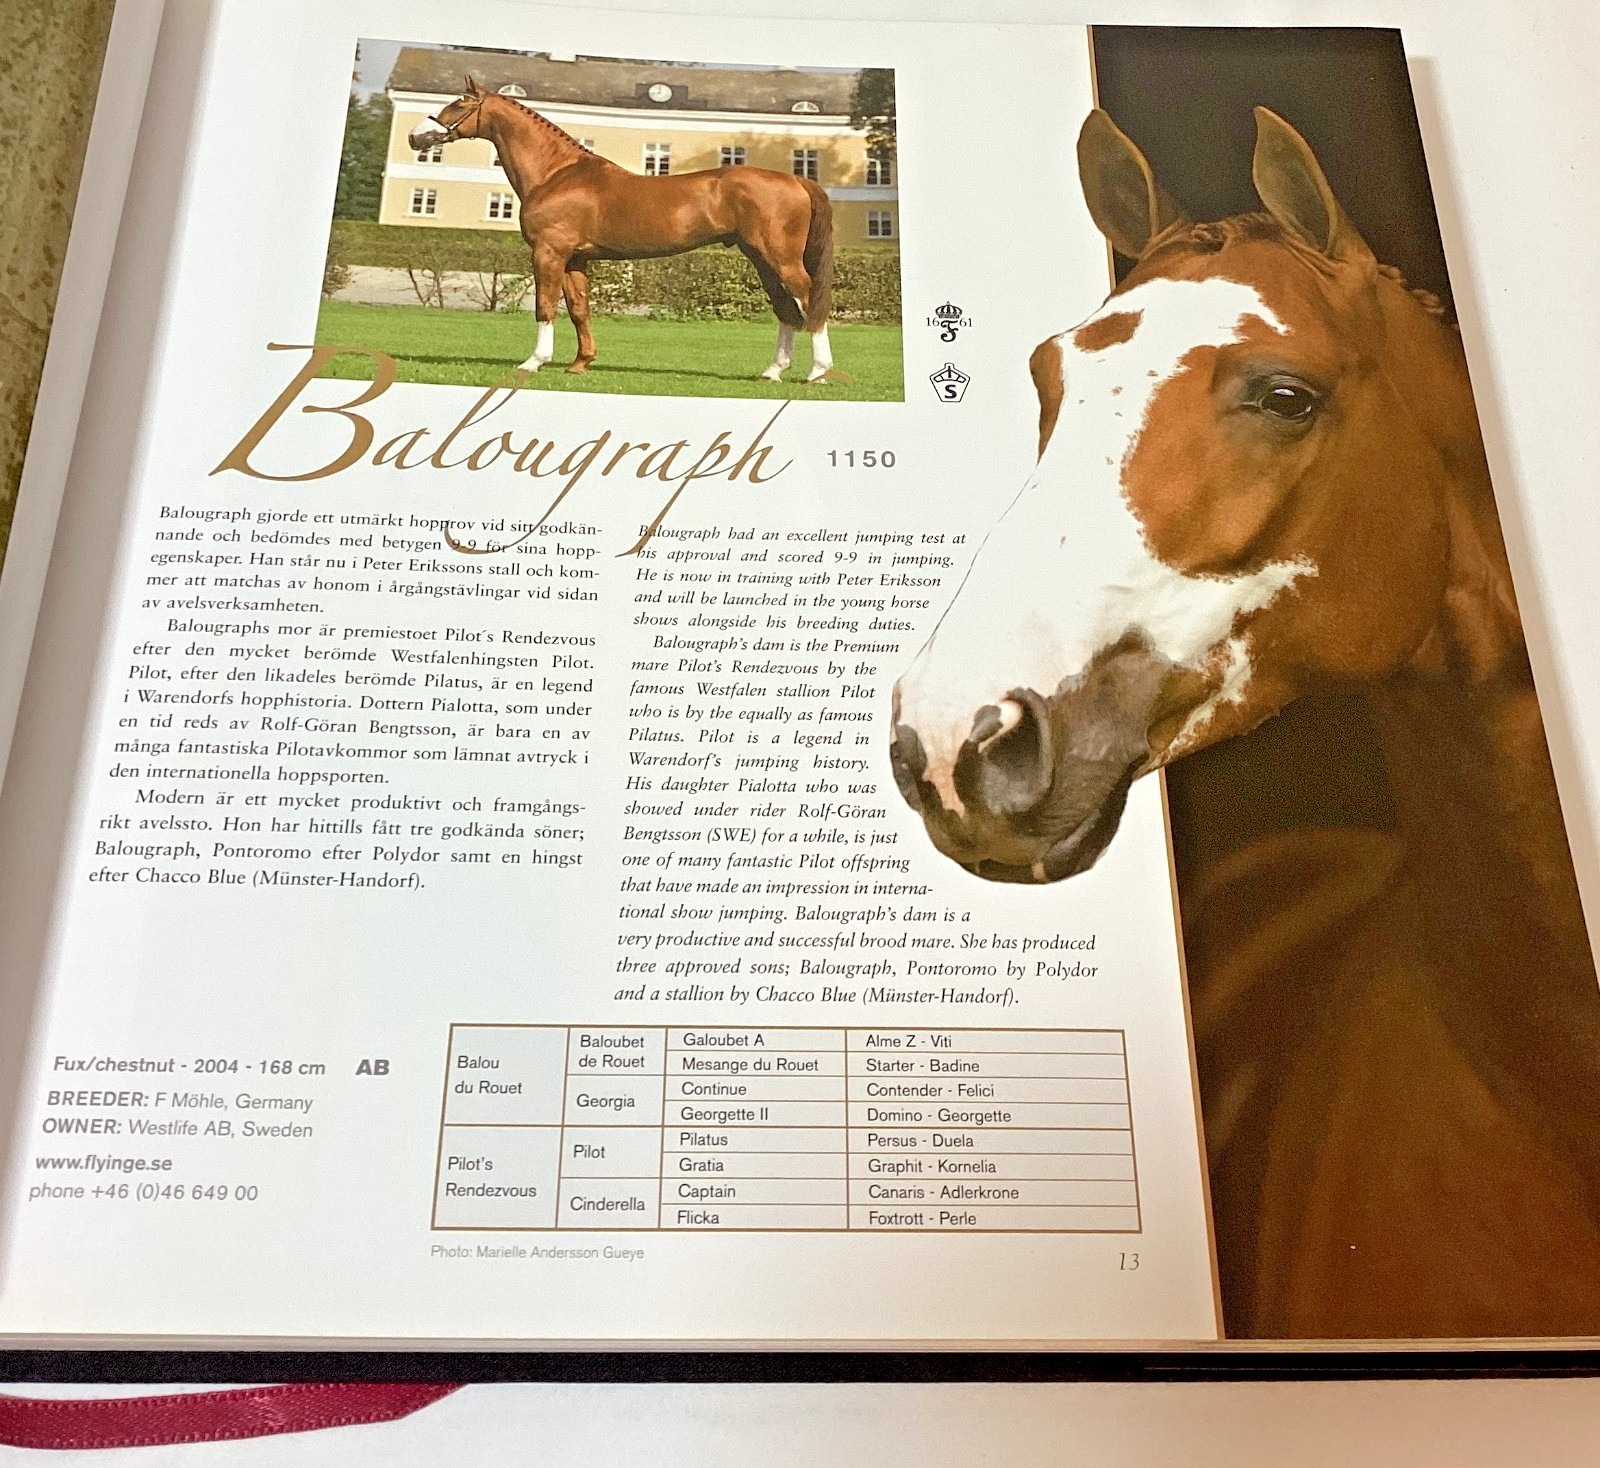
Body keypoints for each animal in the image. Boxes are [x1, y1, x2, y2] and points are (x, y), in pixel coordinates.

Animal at [406, 76, 840, 383]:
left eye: (459, 103)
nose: (416, 136)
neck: (557, 174)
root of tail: (797, 179)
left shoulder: (548, 252)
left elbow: (544, 306)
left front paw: (533, 362)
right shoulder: (575, 258)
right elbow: (579, 309)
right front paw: (581, 363)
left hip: (780, 258)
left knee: (810, 300)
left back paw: (818, 373)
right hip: (761, 259)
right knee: (786, 309)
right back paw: (772, 372)